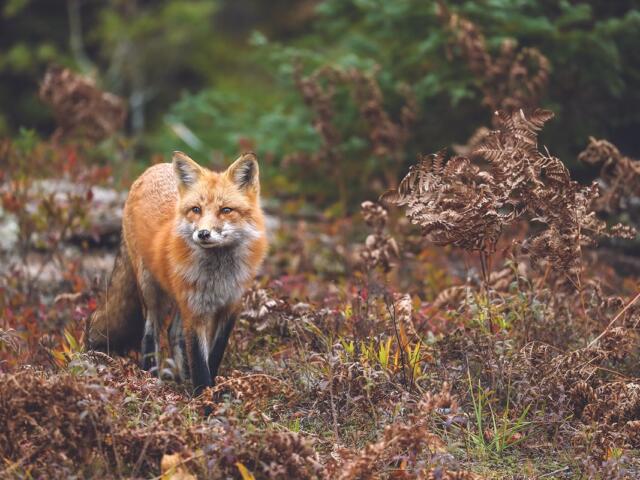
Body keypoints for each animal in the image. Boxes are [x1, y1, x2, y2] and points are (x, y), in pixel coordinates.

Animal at [88, 151, 268, 394]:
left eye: (226, 210)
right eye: (196, 209)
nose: (203, 233)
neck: (218, 277)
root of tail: (153, 169)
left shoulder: (230, 307)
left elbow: (213, 355)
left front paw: (211, 389)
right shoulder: (194, 311)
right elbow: (200, 363)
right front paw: (204, 397)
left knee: (173, 334)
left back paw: (181, 378)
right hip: (152, 292)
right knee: (150, 334)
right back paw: (150, 378)